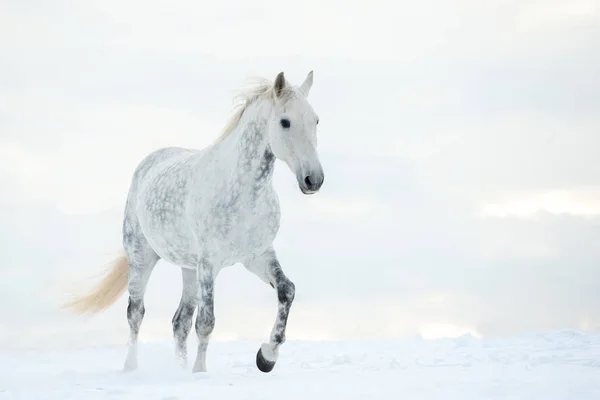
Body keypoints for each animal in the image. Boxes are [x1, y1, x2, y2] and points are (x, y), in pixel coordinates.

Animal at [63, 70, 324, 374]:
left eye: (316, 120)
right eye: (285, 121)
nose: (314, 179)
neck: (244, 193)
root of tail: (149, 163)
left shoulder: (257, 256)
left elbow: (286, 291)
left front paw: (266, 357)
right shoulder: (210, 264)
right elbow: (206, 322)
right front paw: (200, 373)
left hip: (188, 268)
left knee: (180, 321)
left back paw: (178, 368)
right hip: (142, 258)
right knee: (136, 313)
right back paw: (131, 367)